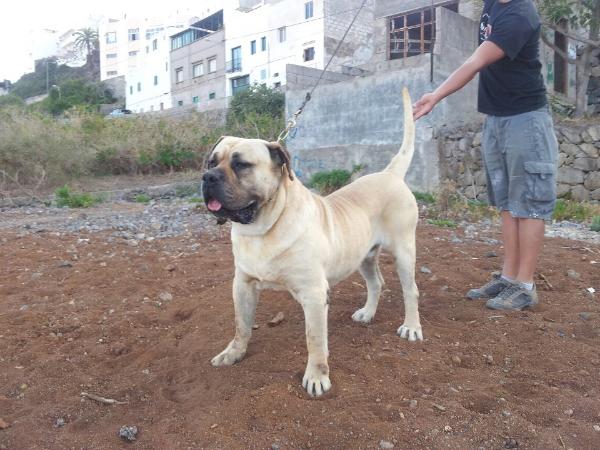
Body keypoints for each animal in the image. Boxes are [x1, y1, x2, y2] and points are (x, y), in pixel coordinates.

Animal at [203, 88, 422, 398]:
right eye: (212, 162)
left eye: (241, 164)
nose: (207, 177)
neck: (262, 228)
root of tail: (390, 174)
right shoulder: (242, 285)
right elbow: (241, 325)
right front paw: (234, 352)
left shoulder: (314, 294)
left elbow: (315, 341)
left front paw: (317, 377)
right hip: (364, 256)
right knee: (376, 282)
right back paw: (367, 313)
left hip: (404, 251)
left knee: (410, 291)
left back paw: (411, 327)